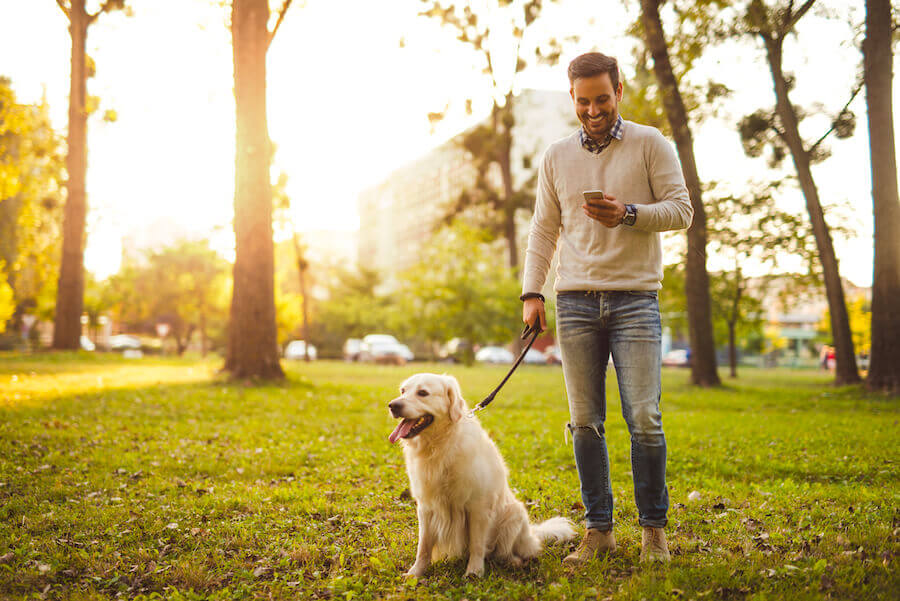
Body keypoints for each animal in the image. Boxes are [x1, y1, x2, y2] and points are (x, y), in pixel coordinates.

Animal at [388, 370, 576, 576]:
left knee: (508, 552)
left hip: (513, 515)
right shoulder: (426, 506)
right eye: (403, 390)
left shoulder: (478, 505)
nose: (393, 405)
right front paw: (415, 573)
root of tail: (532, 535)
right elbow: (424, 546)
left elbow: (477, 544)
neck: (441, 445)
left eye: (422, 393)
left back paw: (514, 562)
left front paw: (474, 572)